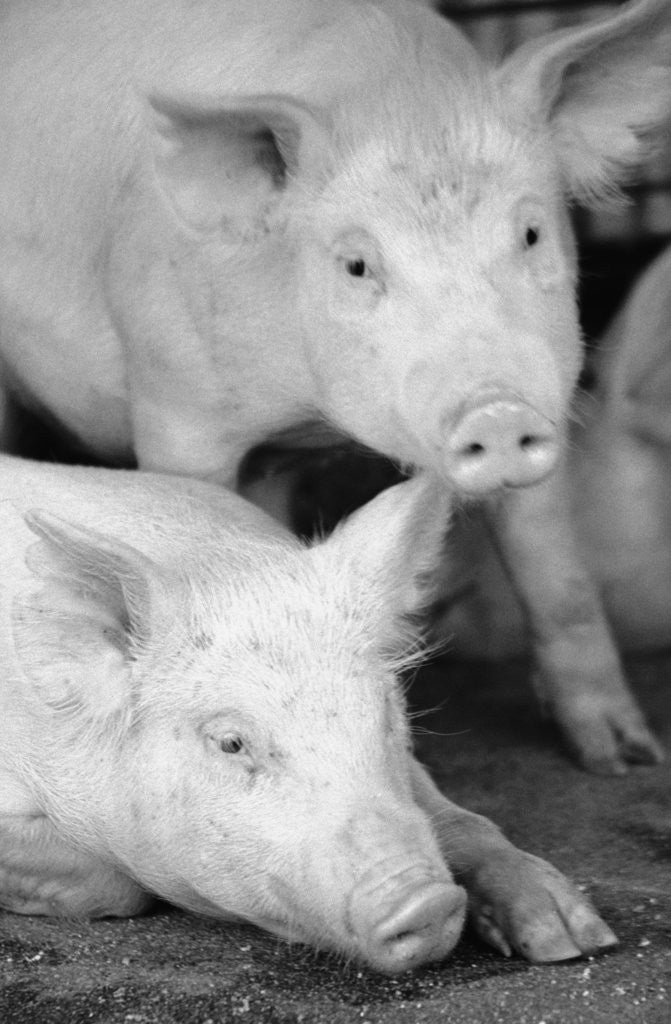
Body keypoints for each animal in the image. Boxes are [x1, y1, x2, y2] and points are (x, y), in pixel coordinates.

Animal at [0, 0, 670, 775]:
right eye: (356, 264)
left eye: (531, 232)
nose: (496, 411)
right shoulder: (174, 402)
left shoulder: (550, 388)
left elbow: (556, 576)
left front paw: (624, 758)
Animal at [0, 461, 617, 973]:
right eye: (230, 743)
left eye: (385, 713)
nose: (427, 900)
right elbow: (118, 883)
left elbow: (462, 821)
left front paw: (573, 941)